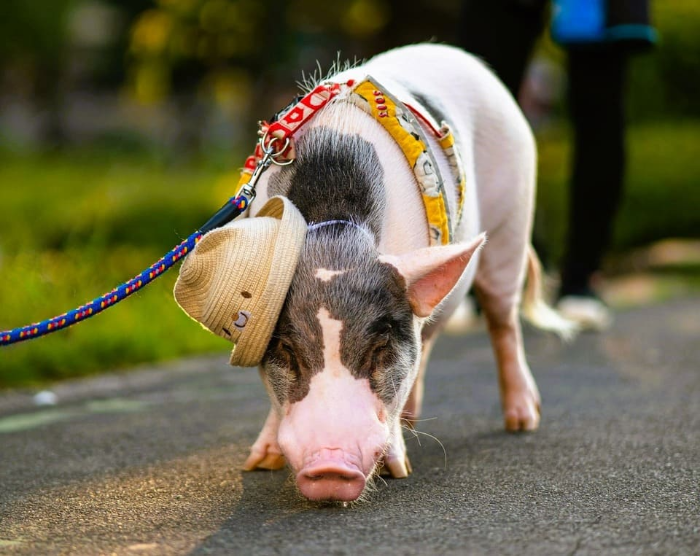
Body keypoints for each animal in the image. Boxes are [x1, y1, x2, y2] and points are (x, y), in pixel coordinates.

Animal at [238, 44, 572, 504]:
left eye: (380, 347)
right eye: (285, 349)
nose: (330, 466)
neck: (334, 232)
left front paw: (398, 471)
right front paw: (257, 464)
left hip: (514, 219)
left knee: (502, 319)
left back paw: (522, 420)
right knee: (430, 338)